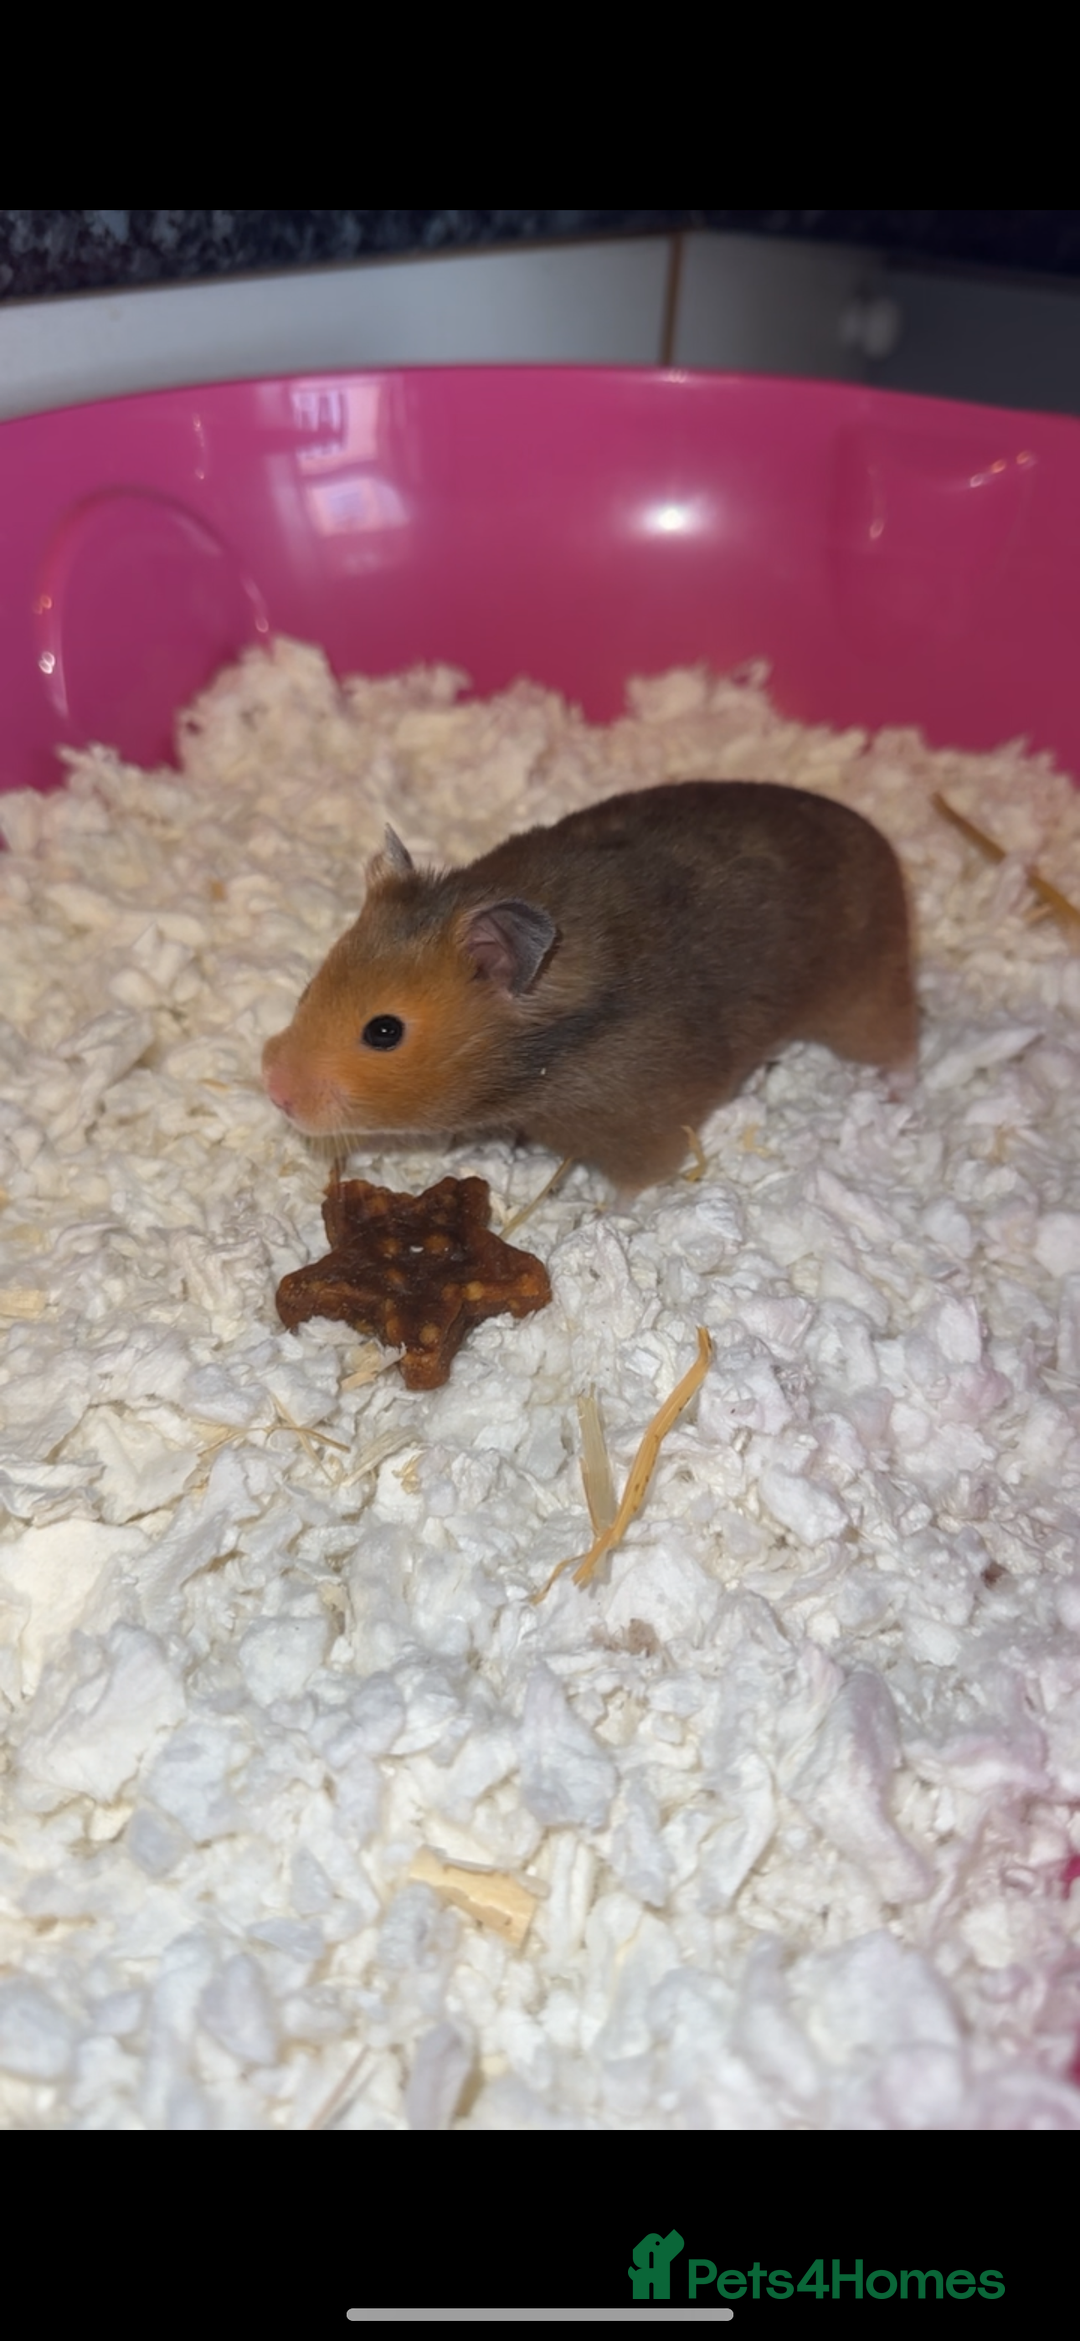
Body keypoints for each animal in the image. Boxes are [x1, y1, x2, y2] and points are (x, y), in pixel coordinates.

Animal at [262, 780, 916, 1192]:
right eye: (308, 988)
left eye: (384, 1032)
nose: (275, 1092)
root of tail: (876, 838)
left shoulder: (648, 1120)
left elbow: (640, 1179)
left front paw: (610, 1214)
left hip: (862, 992)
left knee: (898, 1042)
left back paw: (895, 1100)